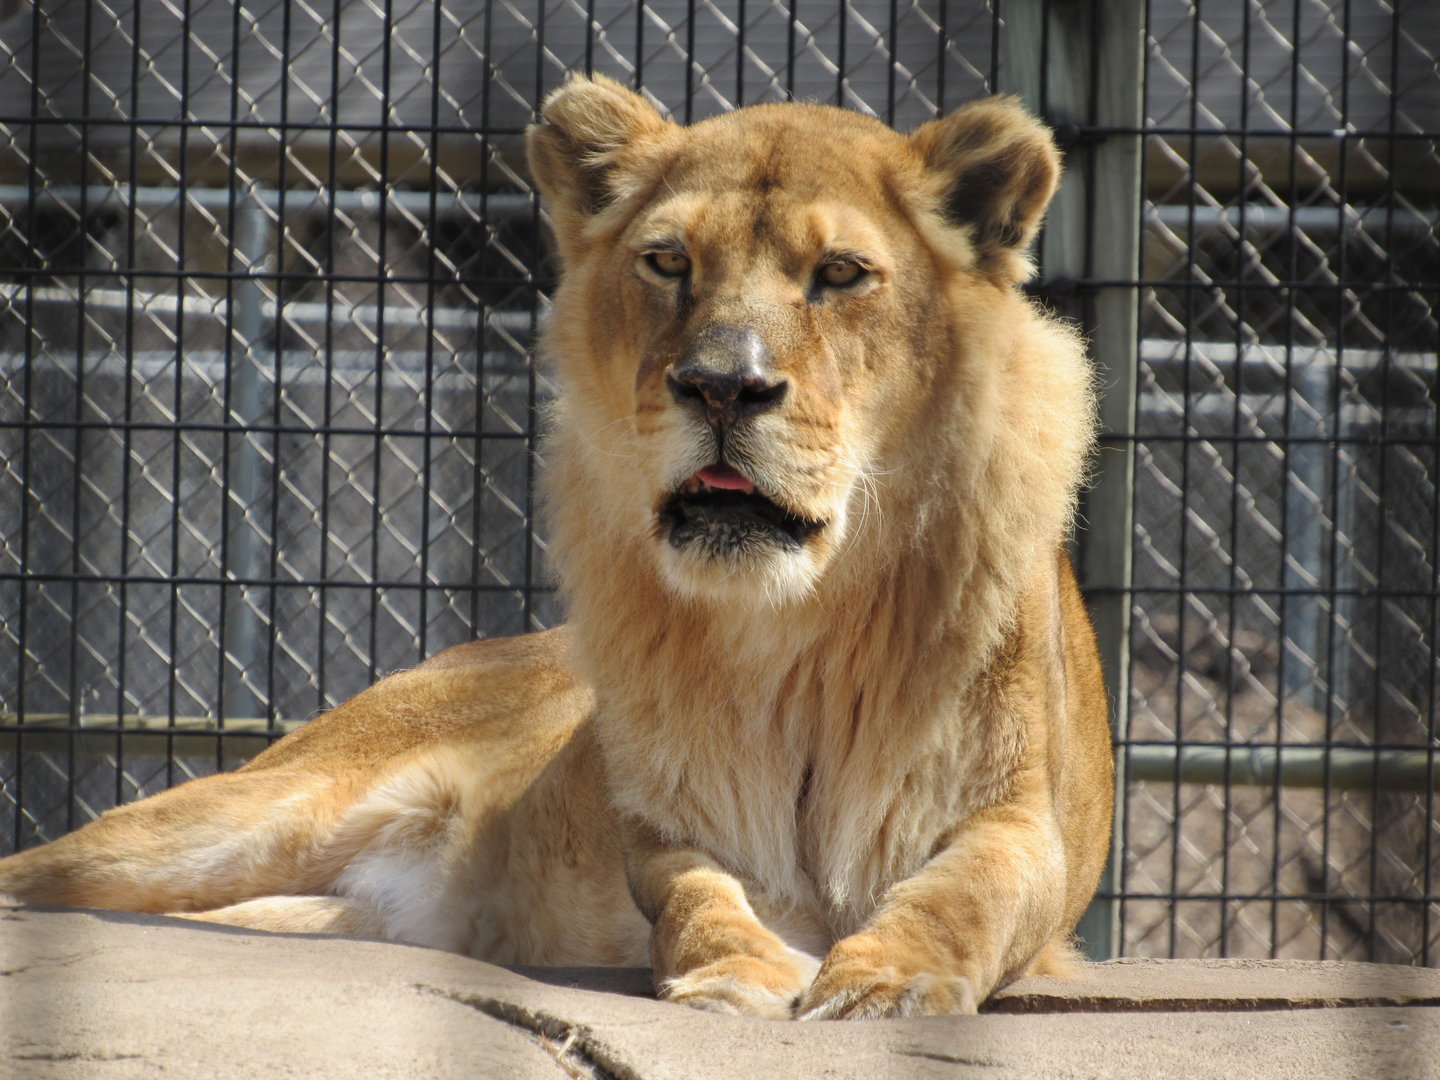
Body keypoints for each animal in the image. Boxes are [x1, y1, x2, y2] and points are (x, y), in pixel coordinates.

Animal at [0, 75, 1113, 1019]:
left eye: (840, 274)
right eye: (669, 261)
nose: (722, 385)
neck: (793, 616)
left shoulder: (1021, 824)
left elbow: (963, 896)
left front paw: (888, 979)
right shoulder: (670, 827)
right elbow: (698, 897)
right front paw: (733, 969)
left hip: (329, 905)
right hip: (250, 817)